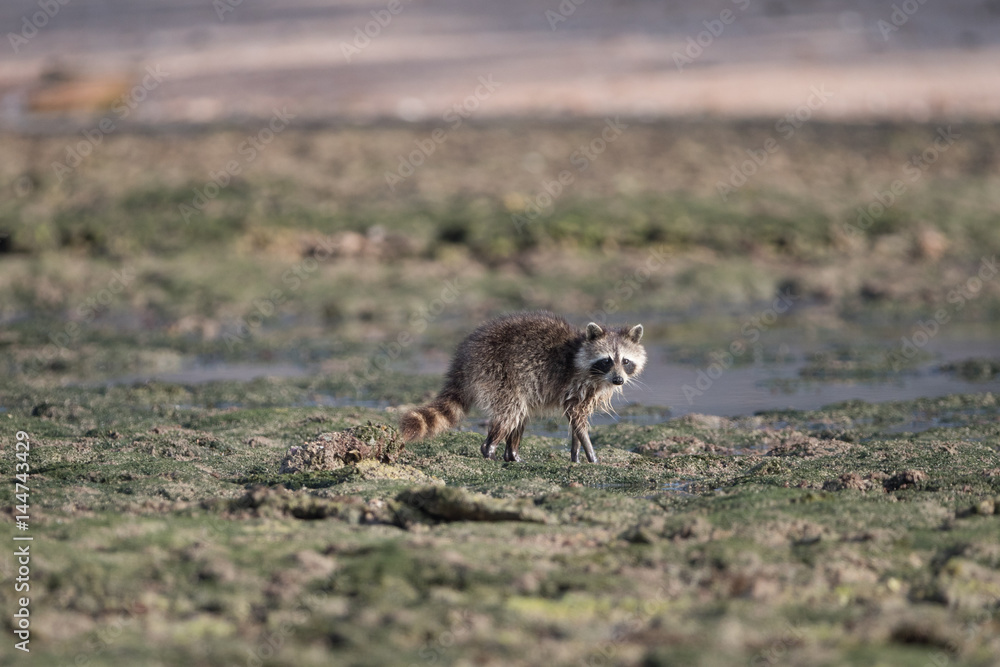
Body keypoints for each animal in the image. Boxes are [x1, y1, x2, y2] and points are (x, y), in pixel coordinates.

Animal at [399, 311, 646, 463]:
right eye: (607, 360)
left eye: (625, 361)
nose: (619, 380)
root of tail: (463, 360)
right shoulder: (576, 384)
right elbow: (577, 418)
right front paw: (591, 454)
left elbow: (576, 421)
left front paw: (576, 454)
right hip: (499, 374)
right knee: (512, 412)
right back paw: (490, 449)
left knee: (520, 414)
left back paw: (512, 453)